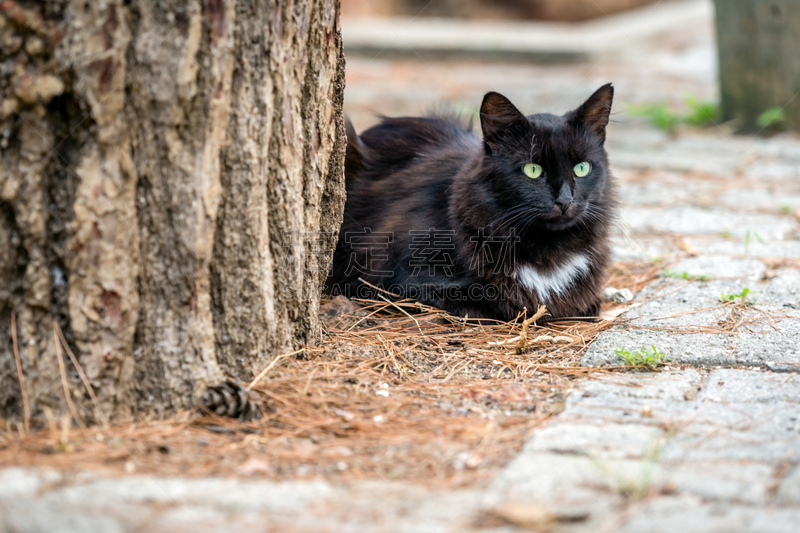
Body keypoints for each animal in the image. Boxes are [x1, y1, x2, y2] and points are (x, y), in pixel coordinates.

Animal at [328, 85, 616, 322]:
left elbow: (586, 307)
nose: (565, 200)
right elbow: (493, 305)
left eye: (582, 168)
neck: (546, 246)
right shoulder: (401, 278)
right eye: (532, 170)